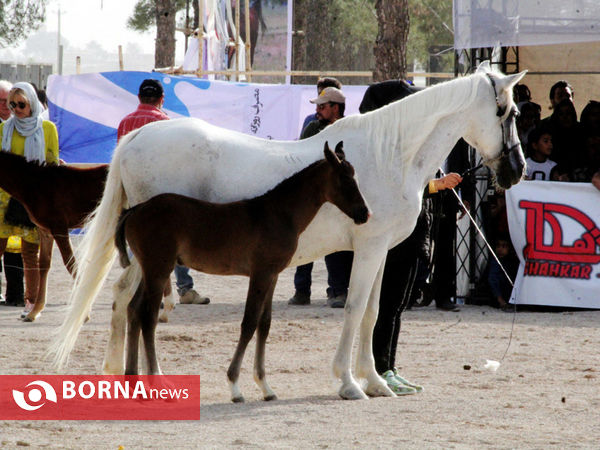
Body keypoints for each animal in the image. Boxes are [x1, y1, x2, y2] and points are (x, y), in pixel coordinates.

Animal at [0, 153, 108, 322]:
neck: (34, 184)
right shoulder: (45, 231)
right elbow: (44, 264)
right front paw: (34, 311)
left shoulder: (59, 228)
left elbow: (71, 264)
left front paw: (84, 312)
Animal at [112, 142, 368, 402]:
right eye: (345, 180)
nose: (364, 214)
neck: (279, 214)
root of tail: (136, 209)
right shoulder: (260, 273)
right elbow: (249, 323)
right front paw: (235, 386)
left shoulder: (273, 275)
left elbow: (264, 324)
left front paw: (266, 387)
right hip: (158, 269)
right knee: (148, 316)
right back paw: (156, 380)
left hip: (150, 270)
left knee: (134, 309)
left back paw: (133, 381)